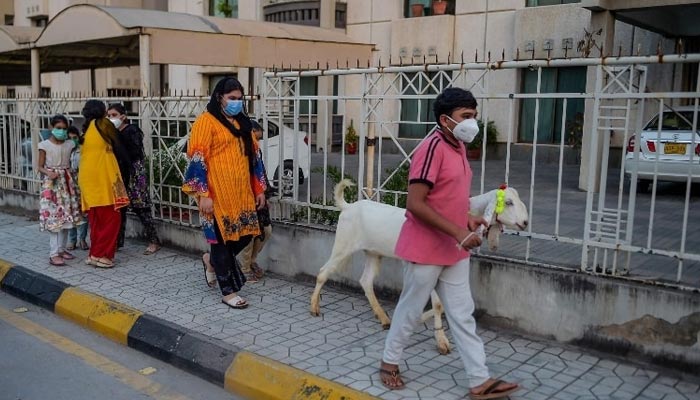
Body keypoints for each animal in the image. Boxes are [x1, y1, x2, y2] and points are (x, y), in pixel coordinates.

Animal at [308, 180, 528, 354]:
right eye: (508, 202)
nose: (525, 222)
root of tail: (348, 207)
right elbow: (438, 305)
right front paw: (441, 342)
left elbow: (441, 305)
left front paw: (421, 321)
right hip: (343, 243)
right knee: (324, 271)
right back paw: (314, 307)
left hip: (373, 252)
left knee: (366, 281)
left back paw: (384, 318)